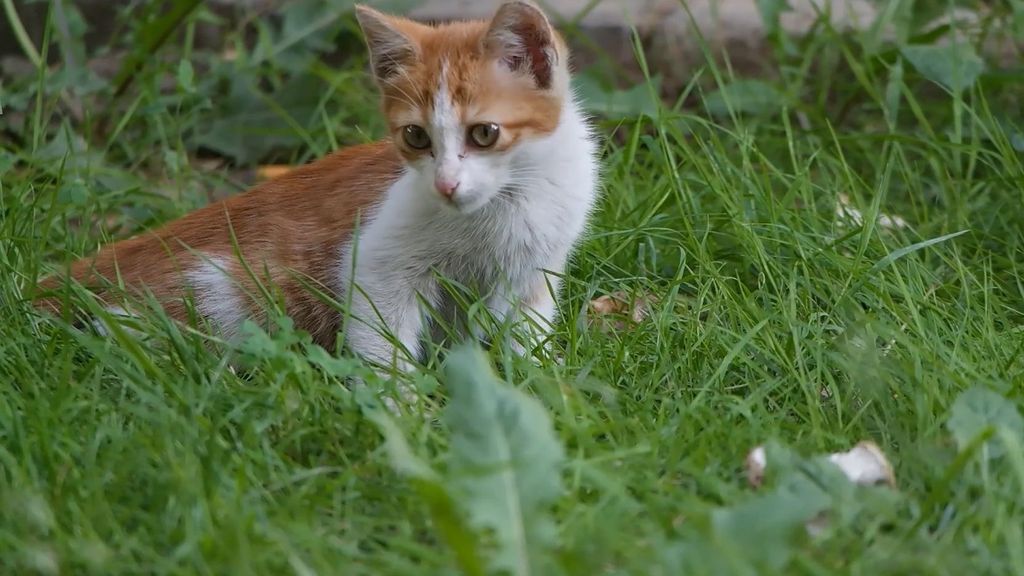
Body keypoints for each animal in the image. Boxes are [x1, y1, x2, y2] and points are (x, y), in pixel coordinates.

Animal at [37, 0, 598, 375]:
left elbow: (527, 337)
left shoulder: (536, 275)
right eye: (416, 136)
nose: (445, 184)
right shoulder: (376, 262)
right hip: (223, 291)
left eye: (485, 133)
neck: (513, 200)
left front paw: (542, 384)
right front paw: (402, 410)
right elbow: (383, 337)